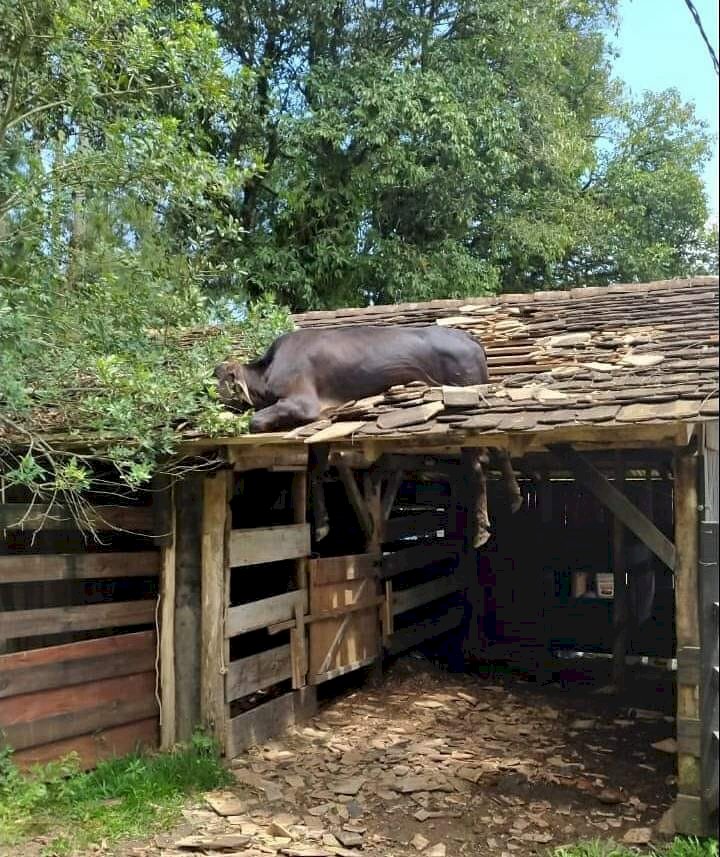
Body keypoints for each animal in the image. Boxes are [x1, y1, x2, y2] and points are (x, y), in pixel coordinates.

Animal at [217, 324, 520, 544]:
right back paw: (515, 498)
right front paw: (322, 526)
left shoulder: (303, 403)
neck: (266, 373)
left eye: (218, 381)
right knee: (500, 449)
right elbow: (317, 471)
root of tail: (468, 337)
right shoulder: (322, 420)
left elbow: (256, 421)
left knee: (478, 464)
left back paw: (481, 530)